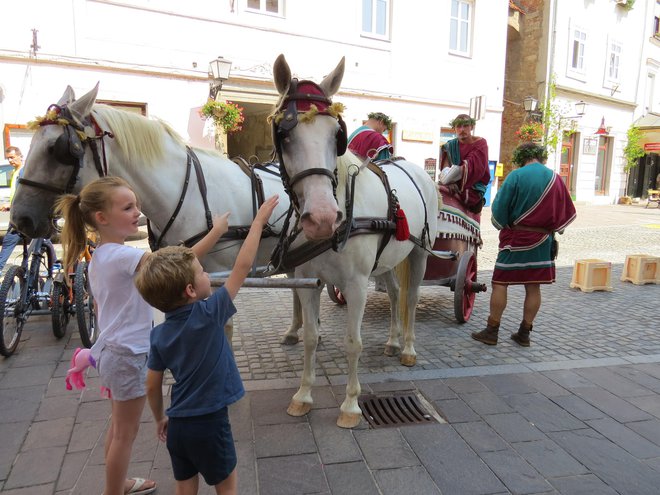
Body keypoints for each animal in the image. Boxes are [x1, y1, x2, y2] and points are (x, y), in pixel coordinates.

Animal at [270, 53, 440, 426]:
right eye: (284, 135)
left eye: (337, 134)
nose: (321, 218)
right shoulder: (308, 281)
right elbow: (311, 338)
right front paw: (303, 395)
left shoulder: (357, 284)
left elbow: (353, 342)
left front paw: (350, 404)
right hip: (388, 259)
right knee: (394, 292)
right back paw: (392, 341)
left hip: (419, 252)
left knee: (411, 297)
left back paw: (407, 348)